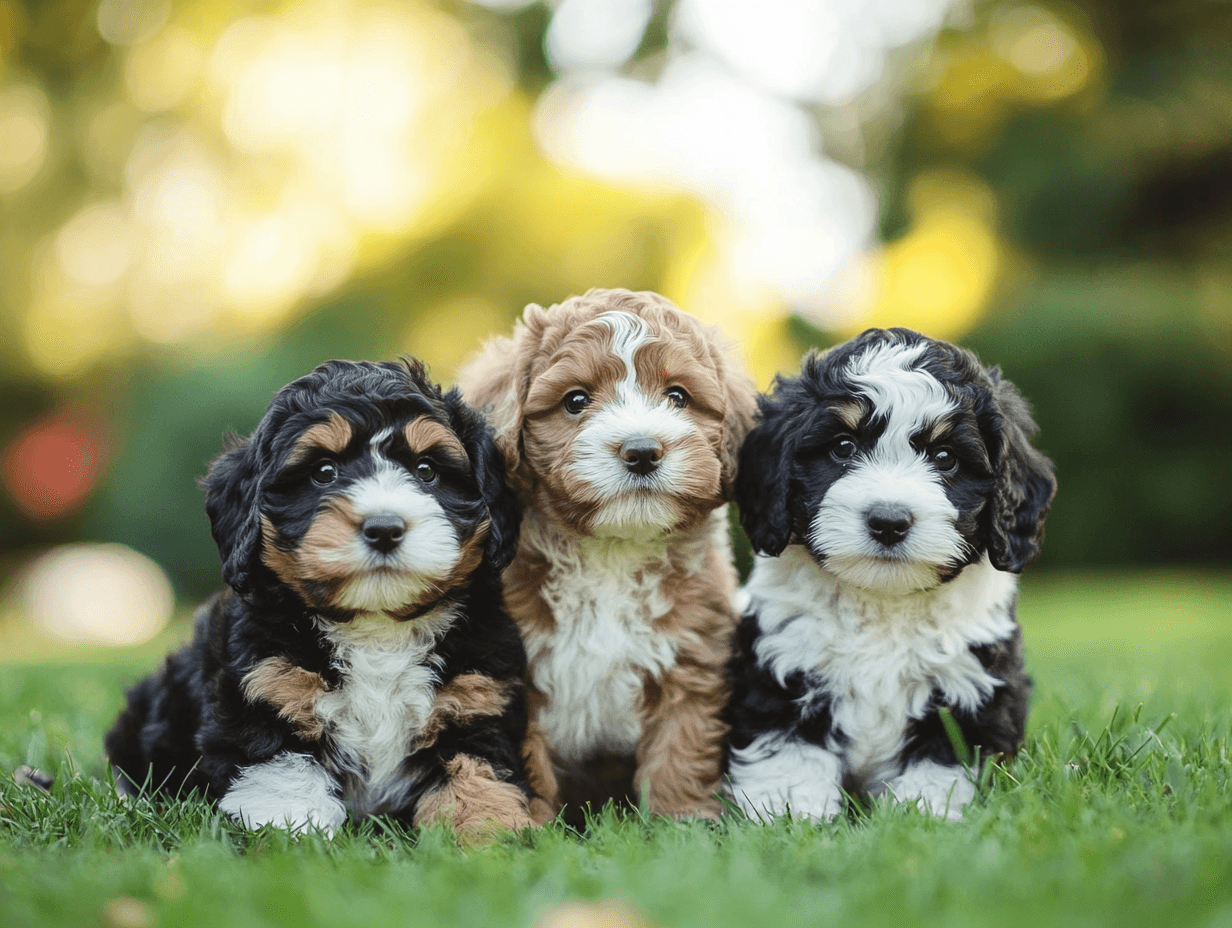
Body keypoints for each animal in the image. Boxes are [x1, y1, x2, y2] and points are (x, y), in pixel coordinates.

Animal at [102, 357, 534, 838]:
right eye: (324, 472)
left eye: (427, 471)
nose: (384, 527)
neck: (377, 627)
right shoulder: (266, 688)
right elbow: (281, 771)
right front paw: (290, 832)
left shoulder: (476, 698)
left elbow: (476, 772)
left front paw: (486, 832)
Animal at [458, 288, 753, 818]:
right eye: (576, 401)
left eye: (678, 396)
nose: (642, 451)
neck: (612, 552)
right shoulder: (518, 671)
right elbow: (529, 759)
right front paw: (536, 824)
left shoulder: (690, 657)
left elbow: (681, 746)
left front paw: (682, 820)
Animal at [724, 330, 1054, 823]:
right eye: (843, 447)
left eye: (945, 458)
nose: (889, 521)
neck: (883, 602)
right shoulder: (782, 667)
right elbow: (790, 755)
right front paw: (790, 818)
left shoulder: (968, 686)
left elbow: (941, 763)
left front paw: (924, 816)